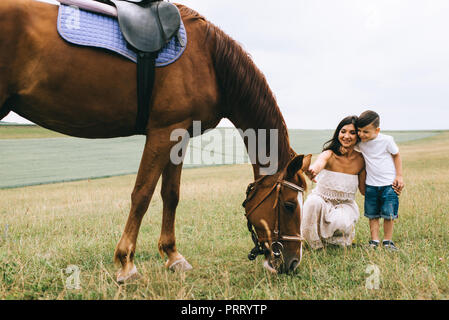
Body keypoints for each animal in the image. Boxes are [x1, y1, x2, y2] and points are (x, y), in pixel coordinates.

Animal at [0, 0, 310, 280]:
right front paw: (126, 263)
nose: (293, 262)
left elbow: (170, 195)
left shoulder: (179, 136)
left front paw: (173, 256)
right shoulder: (163, 133)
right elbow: (142, 194)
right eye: (289, 205)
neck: (208, 57)